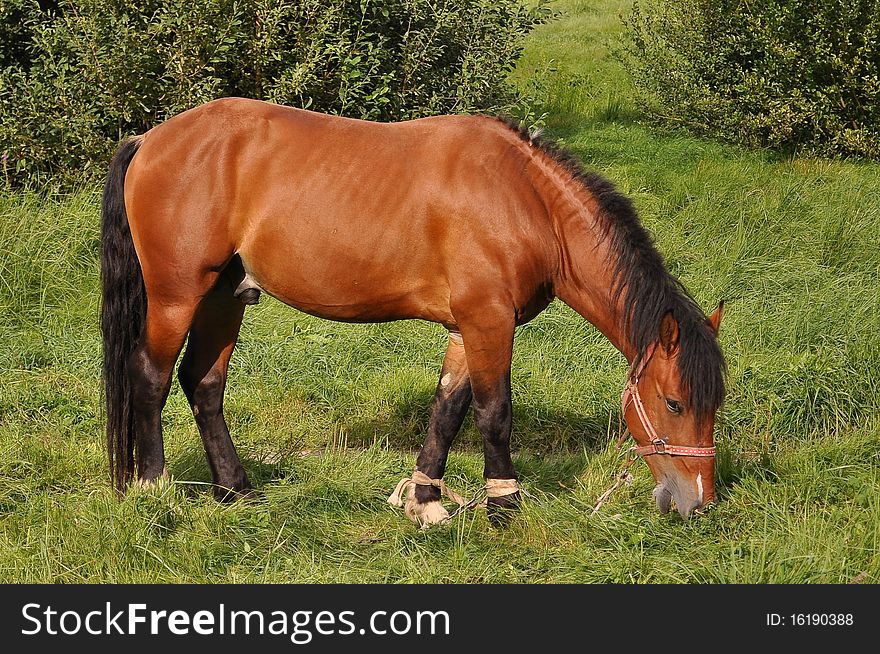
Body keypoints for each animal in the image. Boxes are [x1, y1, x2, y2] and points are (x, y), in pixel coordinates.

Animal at [99, 98, 724, 528]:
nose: (699, 503)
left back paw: (236, 489)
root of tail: (150, 140)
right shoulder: (489, 321)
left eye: (715, 402)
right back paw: (153, 486)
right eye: (674, 402)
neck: (523, 201)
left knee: (202, 383)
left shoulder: (467, 328)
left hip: (225, 297)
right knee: (150, 378)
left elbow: (447, 410)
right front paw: (505, 508)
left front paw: (426, 501)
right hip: (178, 296)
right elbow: (493, 413)